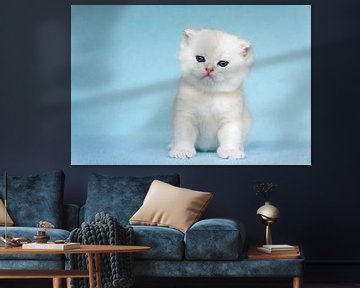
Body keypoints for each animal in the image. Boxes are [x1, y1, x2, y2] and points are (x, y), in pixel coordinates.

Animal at [169, 28, 253, 160]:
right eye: (200, 58)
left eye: (223, 63)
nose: (209, 69)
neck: (209, 92)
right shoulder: (185, 117)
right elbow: (183, 136)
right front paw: (182, 150)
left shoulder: (230, 120)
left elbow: (230, 137)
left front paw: (230, 151)